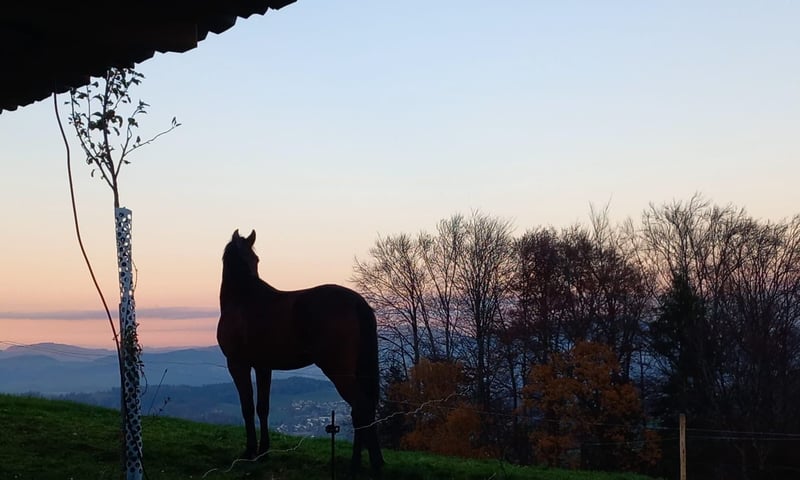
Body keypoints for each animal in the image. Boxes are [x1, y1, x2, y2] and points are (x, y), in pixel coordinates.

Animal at [217, 229, 384, 474]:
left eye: (255, 260)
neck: (243, 298)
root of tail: (356, 302)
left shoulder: (238, 364)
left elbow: (247, 407)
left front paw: (249, 452)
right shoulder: (263, 366)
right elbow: (262, 408)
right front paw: (263, 451)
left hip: (338, 371)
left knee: (360, 407)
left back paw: (362, 465)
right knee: (365, 409)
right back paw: (368, 462)